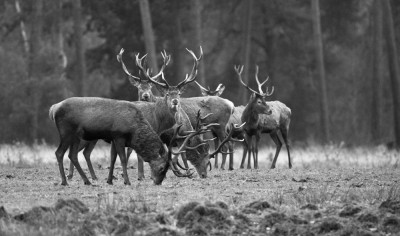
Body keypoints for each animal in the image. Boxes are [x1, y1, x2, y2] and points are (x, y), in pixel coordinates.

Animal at [48, 96, 194, 186]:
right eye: (162, 167)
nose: (158, 182)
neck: (134, 130)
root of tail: (53, 108)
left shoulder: (113, 138)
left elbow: (113, 158)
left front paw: (109, 180)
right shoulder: (119, 136)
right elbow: (123, 158)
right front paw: (127, 181)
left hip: (77, 137)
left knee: (72, 155)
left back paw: (87, 181)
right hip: (67, 133)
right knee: (59, 153)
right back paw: (65, 181)